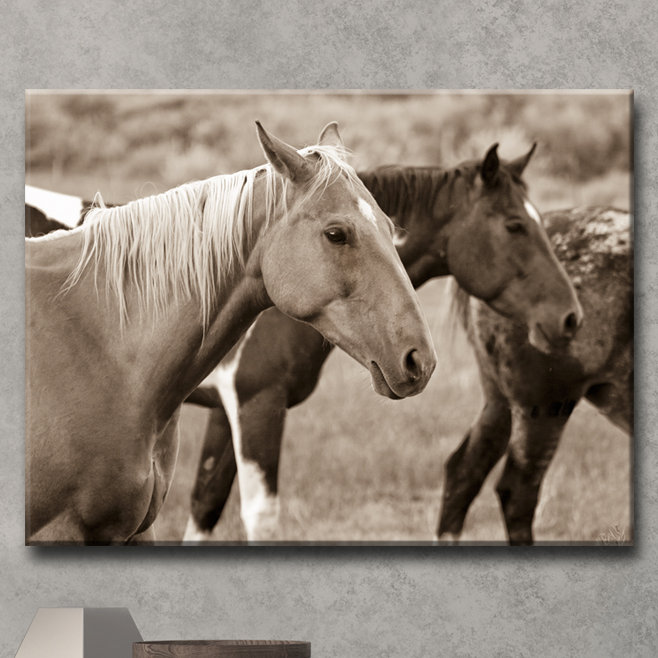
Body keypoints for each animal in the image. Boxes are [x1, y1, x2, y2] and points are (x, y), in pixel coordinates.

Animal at [181, 144, 584, 542]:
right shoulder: (258, 404)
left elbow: (205, 503)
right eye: (514, 225)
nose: (570, 317)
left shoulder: (227, 410)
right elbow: (258, 515)